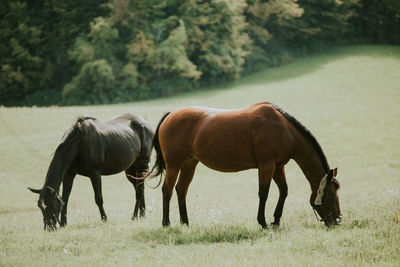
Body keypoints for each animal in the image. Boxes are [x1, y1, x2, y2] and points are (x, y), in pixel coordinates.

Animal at [152, 102, 342, 228]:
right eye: (332, 196)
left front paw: (276, 220)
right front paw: (263, 222)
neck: (283, 129)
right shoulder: (266, 166)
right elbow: (263, 193)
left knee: (181, 190)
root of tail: (171, 115)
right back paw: (166, 223)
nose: (337, 220)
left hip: (190, 164)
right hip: (174, 165)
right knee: (167, 190)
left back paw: (185, 223)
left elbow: (284, 191)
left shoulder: (278, 167)